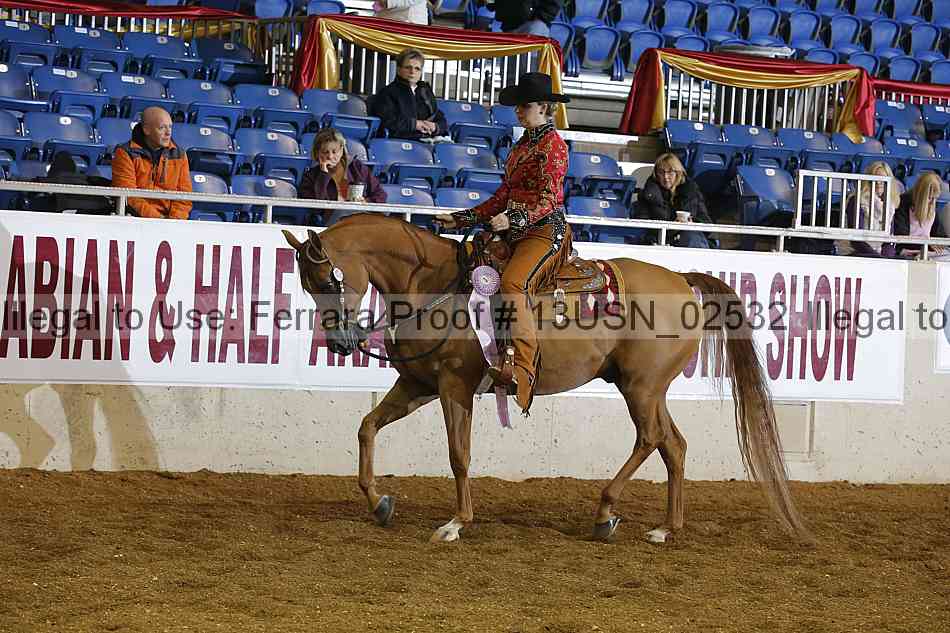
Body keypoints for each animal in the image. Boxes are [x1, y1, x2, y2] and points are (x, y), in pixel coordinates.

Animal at [282, 214, 811, 544]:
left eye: (327, 280)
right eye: (307, 285)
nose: (339, 344)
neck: (431, 286)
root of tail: (682, 279)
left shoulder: (455, 387)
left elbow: (458, 454)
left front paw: (456, 523)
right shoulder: (417, 386)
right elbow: (367, 427)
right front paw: (379, 504)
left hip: (640, 388)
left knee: (651, 438)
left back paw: (605, 513)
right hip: (647, 387)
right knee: (673, 445)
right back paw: (664, 528)